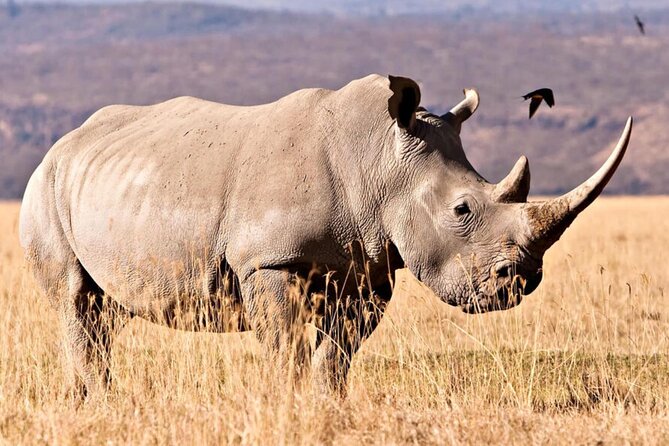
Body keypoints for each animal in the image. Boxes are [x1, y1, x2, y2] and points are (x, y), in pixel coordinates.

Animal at [17, 74, 632, 398]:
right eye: (462, 209)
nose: (521, 280)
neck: (380, 160)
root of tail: (63, 143)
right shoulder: (268, 261)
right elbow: (286, 345)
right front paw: (287, 403)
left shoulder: (370, 269)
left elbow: (338, 352)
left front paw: (326, 404)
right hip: (44, 188)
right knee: (76, 300)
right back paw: (97, 401)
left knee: (104, 311)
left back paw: (94, 401)